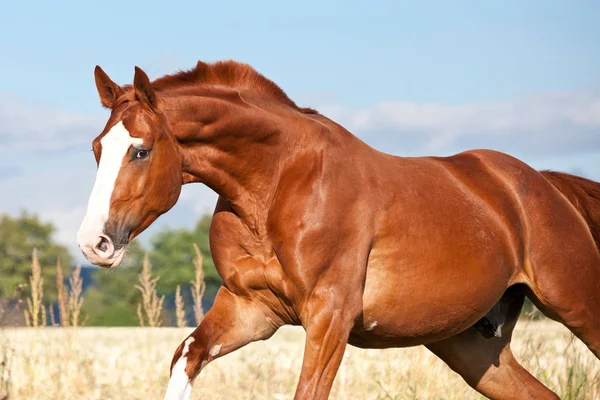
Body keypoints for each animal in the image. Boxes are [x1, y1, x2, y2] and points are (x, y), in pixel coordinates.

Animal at [77, 60, 600, 400]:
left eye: (141, 150)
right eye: (97, 147)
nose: (93, 243)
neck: (278, 183)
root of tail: (542, 185)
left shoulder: (330, 318)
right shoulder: (251, 310)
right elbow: (187, 355)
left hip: (577, 304)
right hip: (471, 345)